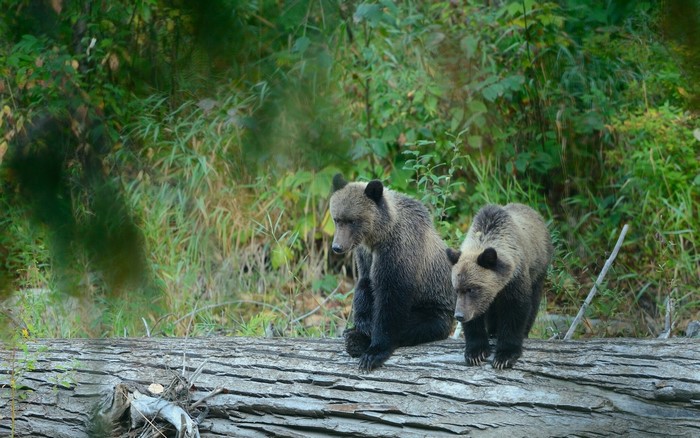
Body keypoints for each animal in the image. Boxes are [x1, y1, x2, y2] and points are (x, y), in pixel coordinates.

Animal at [329, 174, 455, 371]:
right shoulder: (365, 254)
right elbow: (365, 283)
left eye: (352, 220)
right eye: (337, 219)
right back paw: (352, 336)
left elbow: (391, 299)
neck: (378, 236)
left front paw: (374, 353)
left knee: (415, 324)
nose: (337, 247)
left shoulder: (398, 251)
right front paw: (362, 324)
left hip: (435, 308)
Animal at [446, 203, 553, 369]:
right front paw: (475, 353)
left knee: (534, 302)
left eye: (472, 289)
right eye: (457, 290)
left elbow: (515, 311)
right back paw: (493, 332)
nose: (459, 315)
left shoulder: (515, 280)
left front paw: (505, 356)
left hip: (539, 268)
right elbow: (476, 318)